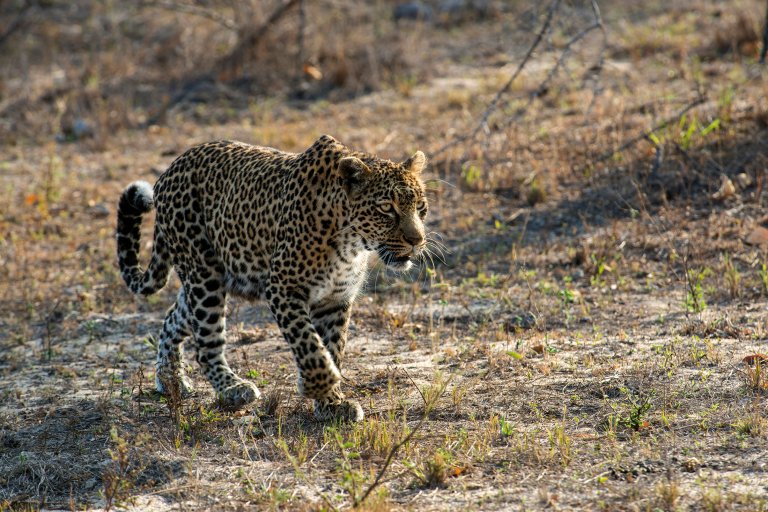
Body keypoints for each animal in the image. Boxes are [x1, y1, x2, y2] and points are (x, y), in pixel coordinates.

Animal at [116, 135, 429, 422]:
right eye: (386, 208)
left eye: (420, 207)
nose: (417, 240)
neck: (351, 242)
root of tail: (170, 169)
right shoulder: (283, 288)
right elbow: (310, 346)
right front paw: (318, 385)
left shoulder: (335, 299)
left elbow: (332, 347)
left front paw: (331, 404)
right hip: (203, 274)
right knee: (206, 342)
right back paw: (232, 388)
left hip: (208, 276)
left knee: (173, 318)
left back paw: (171, 381)